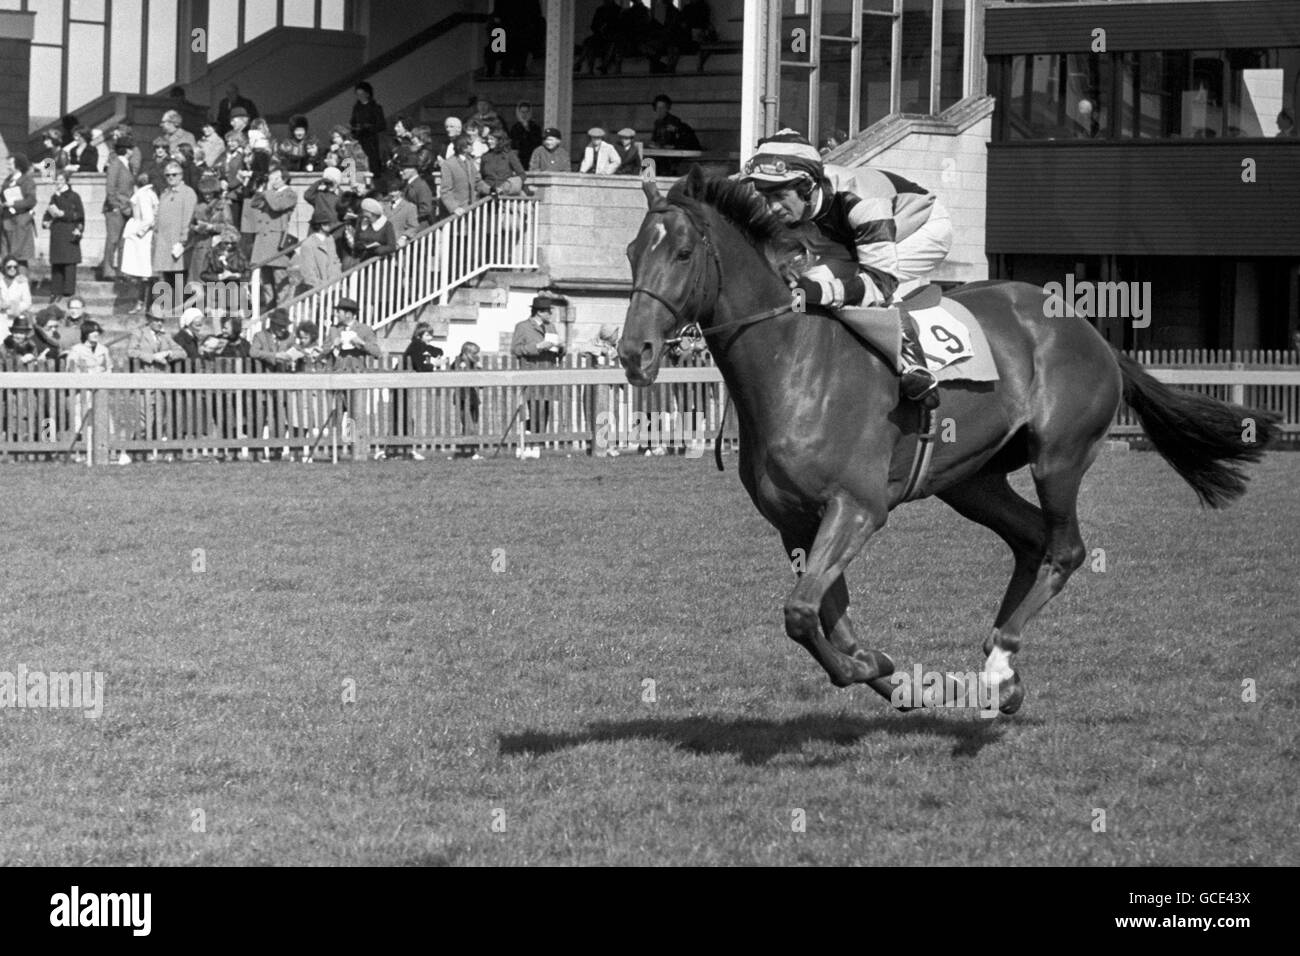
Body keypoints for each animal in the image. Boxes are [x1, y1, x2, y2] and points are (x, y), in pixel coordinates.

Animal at [618, 166, 1279, 715]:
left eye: (682, 252)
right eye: (631, 253)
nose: (633, 353)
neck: (793, 365)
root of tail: (1090, 330)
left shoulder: (858, 507)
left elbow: (802, 613)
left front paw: (876, 669)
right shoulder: (796, 522)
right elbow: (831, 621)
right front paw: (891, 674)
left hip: (1058, 456)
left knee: (1065, 549)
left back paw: (1001, 658)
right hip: (972, 481)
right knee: (1031, 538)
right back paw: (1002, 675)